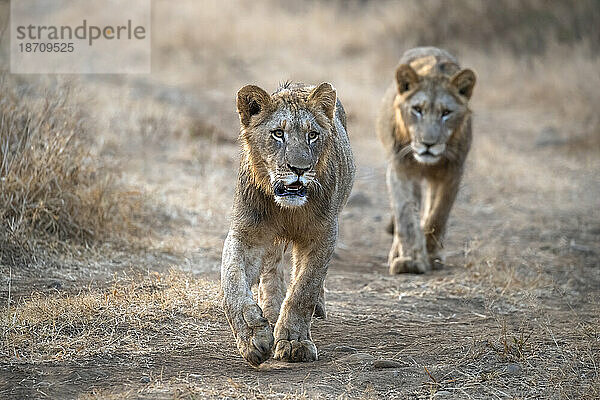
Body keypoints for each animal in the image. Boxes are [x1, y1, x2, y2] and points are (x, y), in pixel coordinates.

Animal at [220, 81, 354, 366]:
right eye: (278, 134)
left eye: (312, 135)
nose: (299, 169)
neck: (288, 210)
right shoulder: (247, 234)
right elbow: (231, 282)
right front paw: (252, 337)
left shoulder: (323, 235)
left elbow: (305, 288)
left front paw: (294, 342)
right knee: (271, 268)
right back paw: (270, 310)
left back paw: (316, 308)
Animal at [376, 47, 478, 276]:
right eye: (417, 109)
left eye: (446, 113)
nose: (428, 144)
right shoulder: (400, 169)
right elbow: (406, 216)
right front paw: (411, 261)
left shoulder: (452, 172)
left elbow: (437, 215)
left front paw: (431, 255)